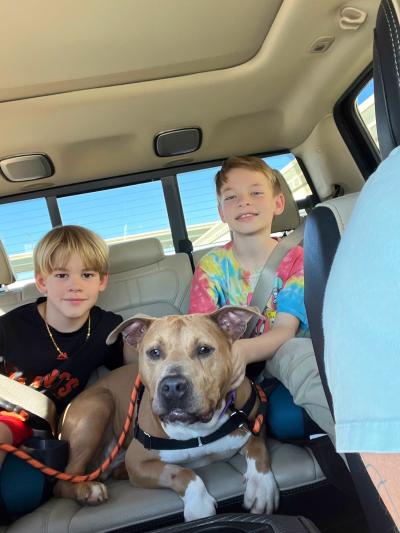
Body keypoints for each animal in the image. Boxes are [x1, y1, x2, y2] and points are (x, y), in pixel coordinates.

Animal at [54, 306, 278, 520]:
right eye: (154, 352)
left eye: (204, 350)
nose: (172, 387)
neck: (198, 430)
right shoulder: (137, 463)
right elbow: (182, 472)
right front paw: (199, 505)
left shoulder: (256, 423)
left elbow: (258, 449)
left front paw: (262, 487)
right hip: (99, 405)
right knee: (65, 480)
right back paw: (88, 490)